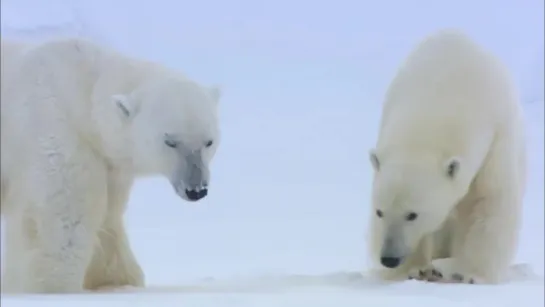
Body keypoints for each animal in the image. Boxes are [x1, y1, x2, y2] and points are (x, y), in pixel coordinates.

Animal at [0, 38, 221, 294]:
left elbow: (108, 214)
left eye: (209, 142)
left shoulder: (111, 165)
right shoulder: (53, 129)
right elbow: (63, 216)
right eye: (170, 141)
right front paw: (50, 287)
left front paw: (115, 280)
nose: (196, 190)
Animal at [368, 29, 524, 286]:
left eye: (412, 214)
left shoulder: (496, 140)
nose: (389, 258)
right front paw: (417, 270)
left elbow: (489, 203)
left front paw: (471, 274)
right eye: (379, 212)